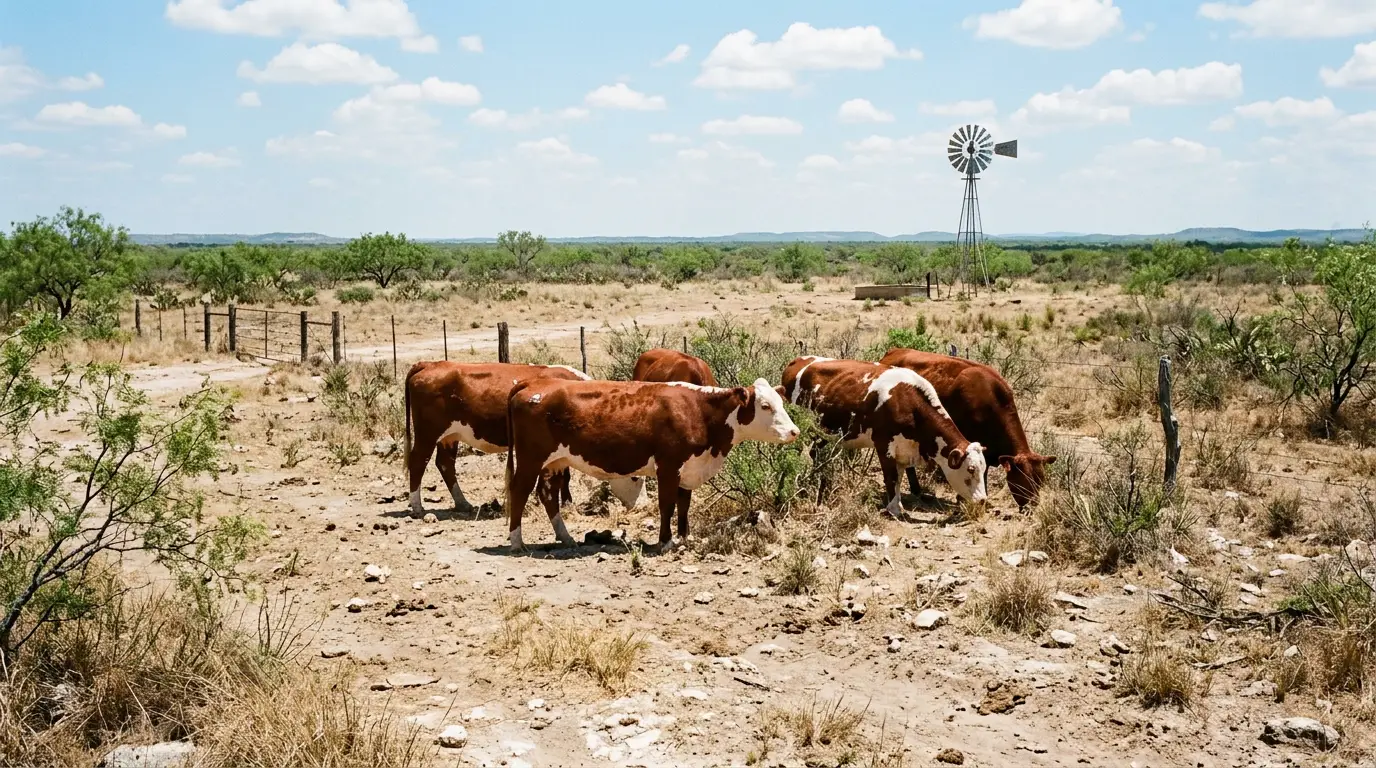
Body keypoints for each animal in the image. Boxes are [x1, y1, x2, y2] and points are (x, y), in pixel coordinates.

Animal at [402, 361, 589, 517]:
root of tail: (429, 364)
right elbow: (564, 476)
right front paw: (567, 503)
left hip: (449, 435)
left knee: (445, 463)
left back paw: (463, 503)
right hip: (428, 432)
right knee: (419, 461)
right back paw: (418, 508)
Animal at [504, 378, 800, 550]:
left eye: (781, 402)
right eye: (765, 406)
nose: (794, 431)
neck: (698, 411)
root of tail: (533, 383)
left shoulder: (688, 468)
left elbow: (684, 504)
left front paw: (684, 537)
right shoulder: (668, 466)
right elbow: (667, 504)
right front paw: (665, 541)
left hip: (555, 461)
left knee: (548, 494)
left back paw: (565, 538)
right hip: (531, 459)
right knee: (519, 492)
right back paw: (517, 542)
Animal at [779, 356, 988, 515]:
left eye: (984, 468)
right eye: (970, 469)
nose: (983, 500)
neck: (908, 402)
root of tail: (799, 361)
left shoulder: (904, 450)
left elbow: (899, 477)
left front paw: (898, 504)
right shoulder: (884, 445)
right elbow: (891, 477)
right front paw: (894, 509)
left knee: (814, 452)